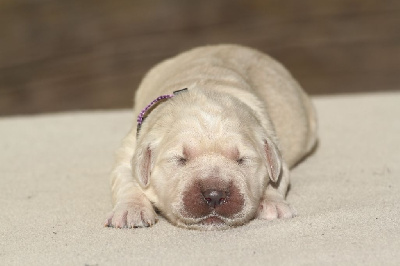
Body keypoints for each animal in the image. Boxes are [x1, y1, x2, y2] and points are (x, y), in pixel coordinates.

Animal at [104, 44, 318, 230]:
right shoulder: (132, 147)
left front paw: (272, 203)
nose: (214, 195)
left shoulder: (274, 145)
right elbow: (126, 179)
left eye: (242, 159)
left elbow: (277, 177)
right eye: (180, 159)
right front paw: (131, 210)